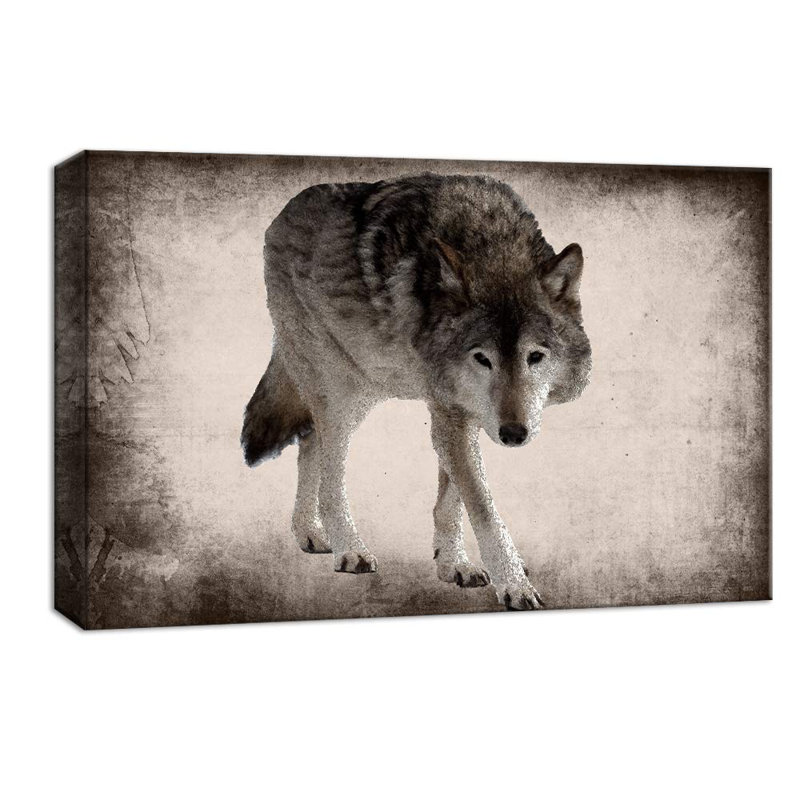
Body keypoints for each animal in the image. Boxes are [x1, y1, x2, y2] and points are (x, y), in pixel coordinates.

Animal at [241, 174, 591, 610]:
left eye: (535, 356)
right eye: (483, 358)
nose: (513, 434)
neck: (491, 242)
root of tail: (283, 212)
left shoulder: (459, 411)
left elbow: (453, 500)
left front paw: (453, 564)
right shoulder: (452, 413)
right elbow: (482, 506)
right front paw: (513, 583)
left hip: (361, 387)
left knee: (309, 443)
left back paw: (310, 533)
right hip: (338, 393)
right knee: (330, 474)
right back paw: (349, 548)